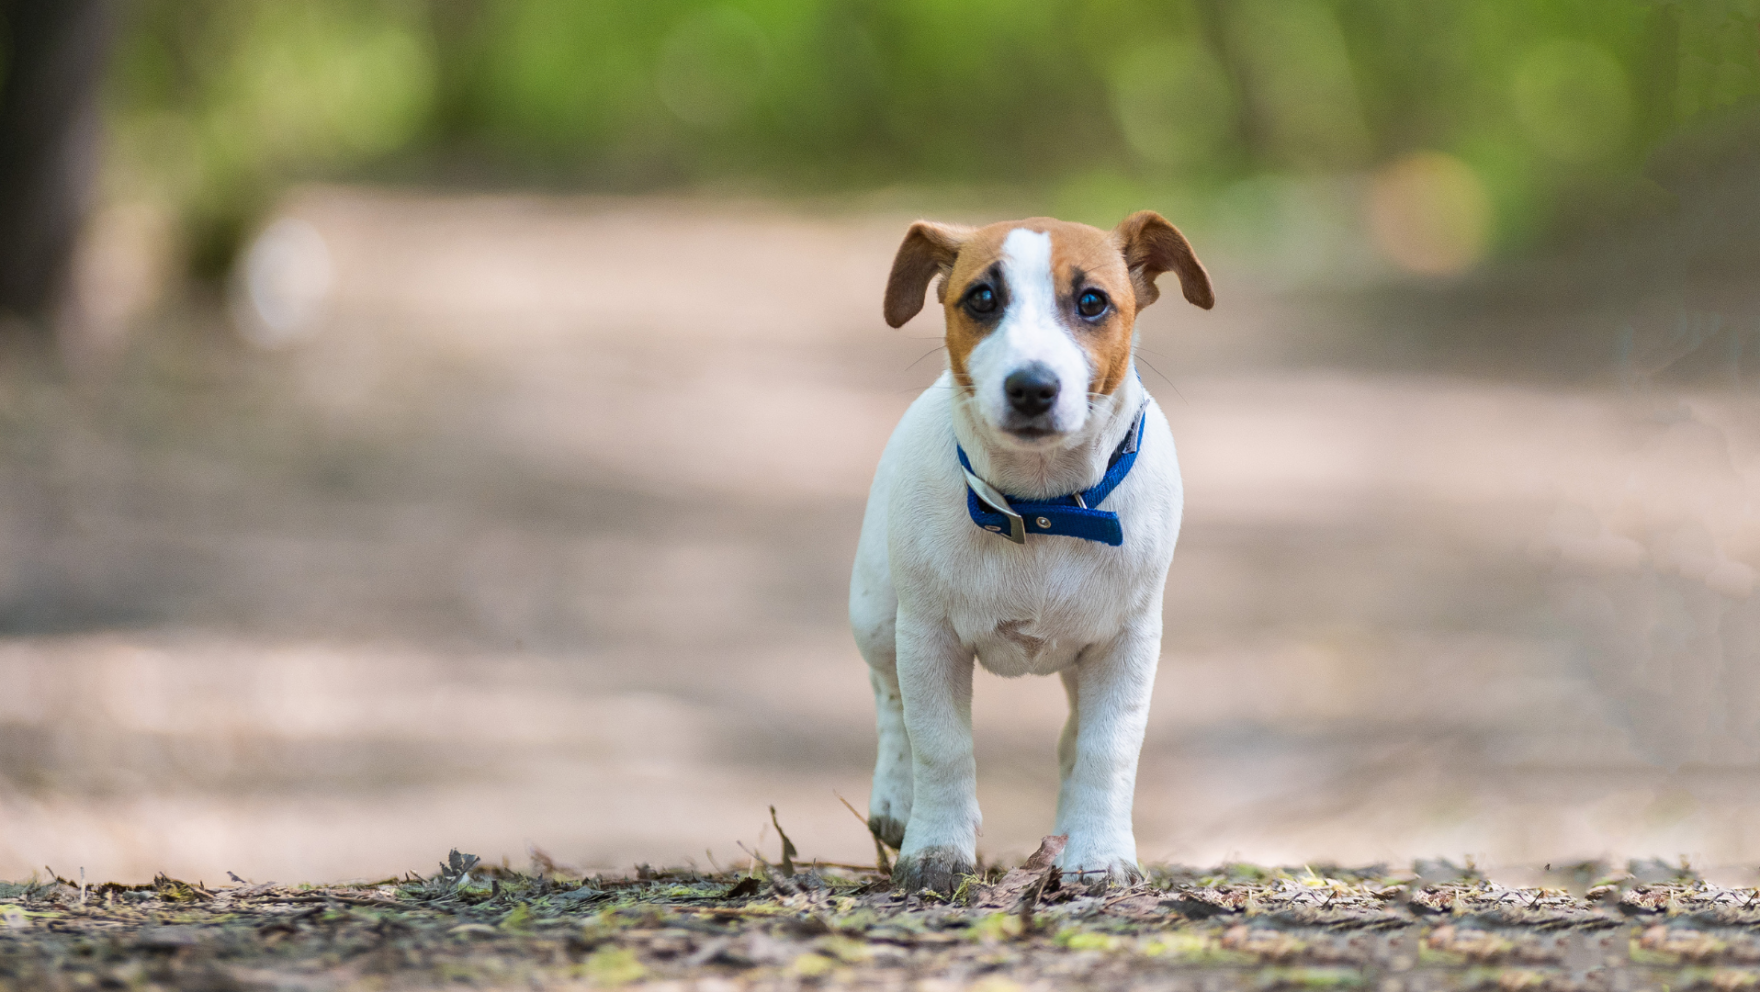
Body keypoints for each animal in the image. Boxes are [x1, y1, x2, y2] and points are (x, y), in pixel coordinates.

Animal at [848, 209, 1210, 889]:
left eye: (1092, 301)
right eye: (982, 298)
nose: (1032, 387)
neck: (1044, 509)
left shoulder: (1127, 644)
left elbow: (1106, 748)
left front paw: (1099, 853)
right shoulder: (929, 636)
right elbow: (938, 743)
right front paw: (935, 849)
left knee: (1072, 738)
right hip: (878, 614)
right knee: (889, 696)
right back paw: (896, 801)